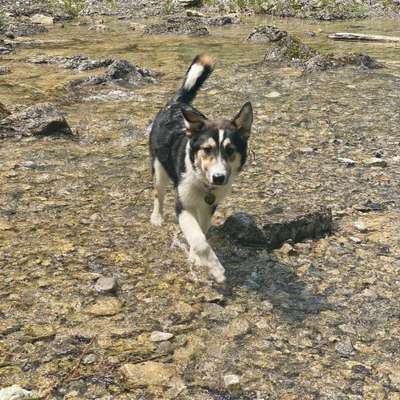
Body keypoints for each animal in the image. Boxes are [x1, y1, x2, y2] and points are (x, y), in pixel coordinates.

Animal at [148, 54, 255, 282]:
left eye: (230, 150)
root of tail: (176, 103)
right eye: (207, 149)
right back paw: (157, 217)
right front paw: (216, 268)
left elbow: (201, 234)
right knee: (158, 194)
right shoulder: (183, 206)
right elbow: (199, 240)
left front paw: (196, 259)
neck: (203, 183)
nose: (219, 178)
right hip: (158, 168)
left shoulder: (209, 206)